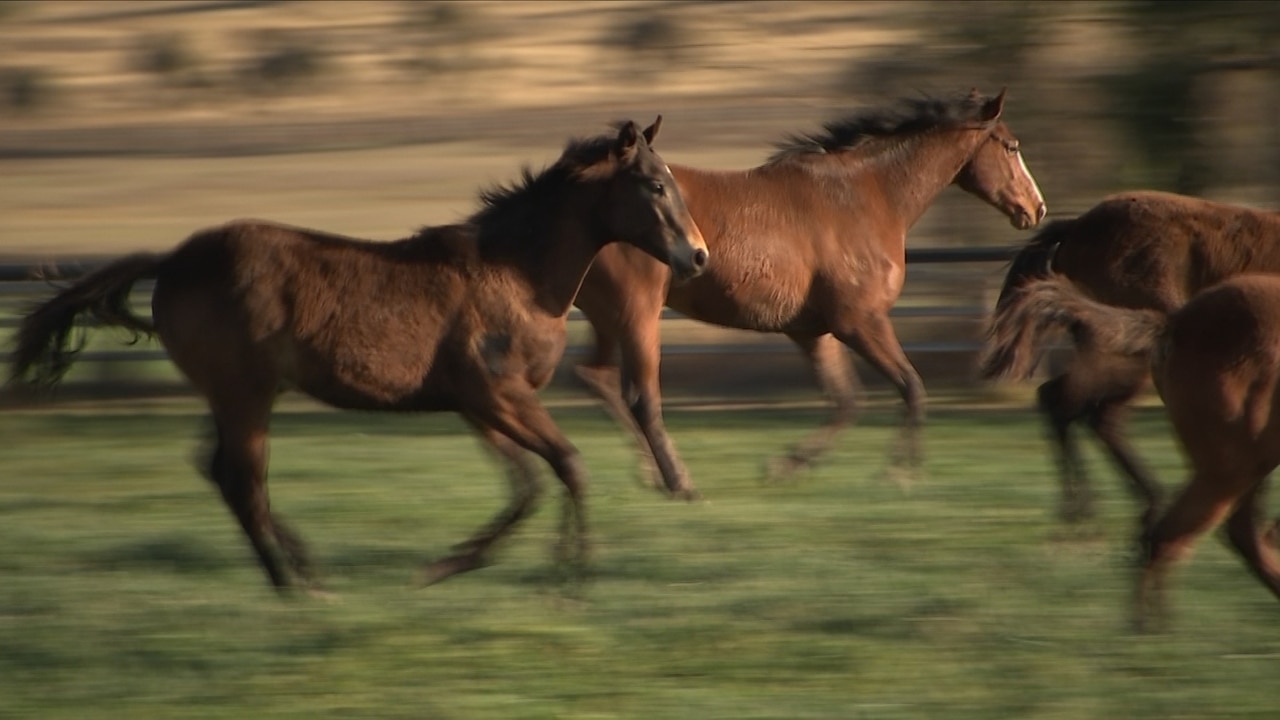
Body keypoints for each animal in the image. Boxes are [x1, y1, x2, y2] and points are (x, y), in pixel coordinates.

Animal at [7, 117, 711, 589]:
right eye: (654, 185)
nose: (699, 257)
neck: (514, 273)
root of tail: (173, 259)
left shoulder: (478, 404)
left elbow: (526, 485)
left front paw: (447, 565)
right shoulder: (496, 394)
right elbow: (568, 466)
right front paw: (571, 576)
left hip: (234, 393)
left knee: (219, 471)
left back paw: (304, 569)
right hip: (244, 393)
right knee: (243, 481)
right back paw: (297, 590)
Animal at [576, 89, 1044, 497]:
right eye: (1011, 146)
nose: (1035, 208)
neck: (865, 195)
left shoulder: (813, 331)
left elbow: (846, 401)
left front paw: (784, 466)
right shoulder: (860, 321)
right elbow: (911, 387)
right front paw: (900, 474)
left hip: (608, 316)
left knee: (595, 377)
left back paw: (651, 473)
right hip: (636, 313)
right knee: (636, 394)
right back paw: (669, 477)